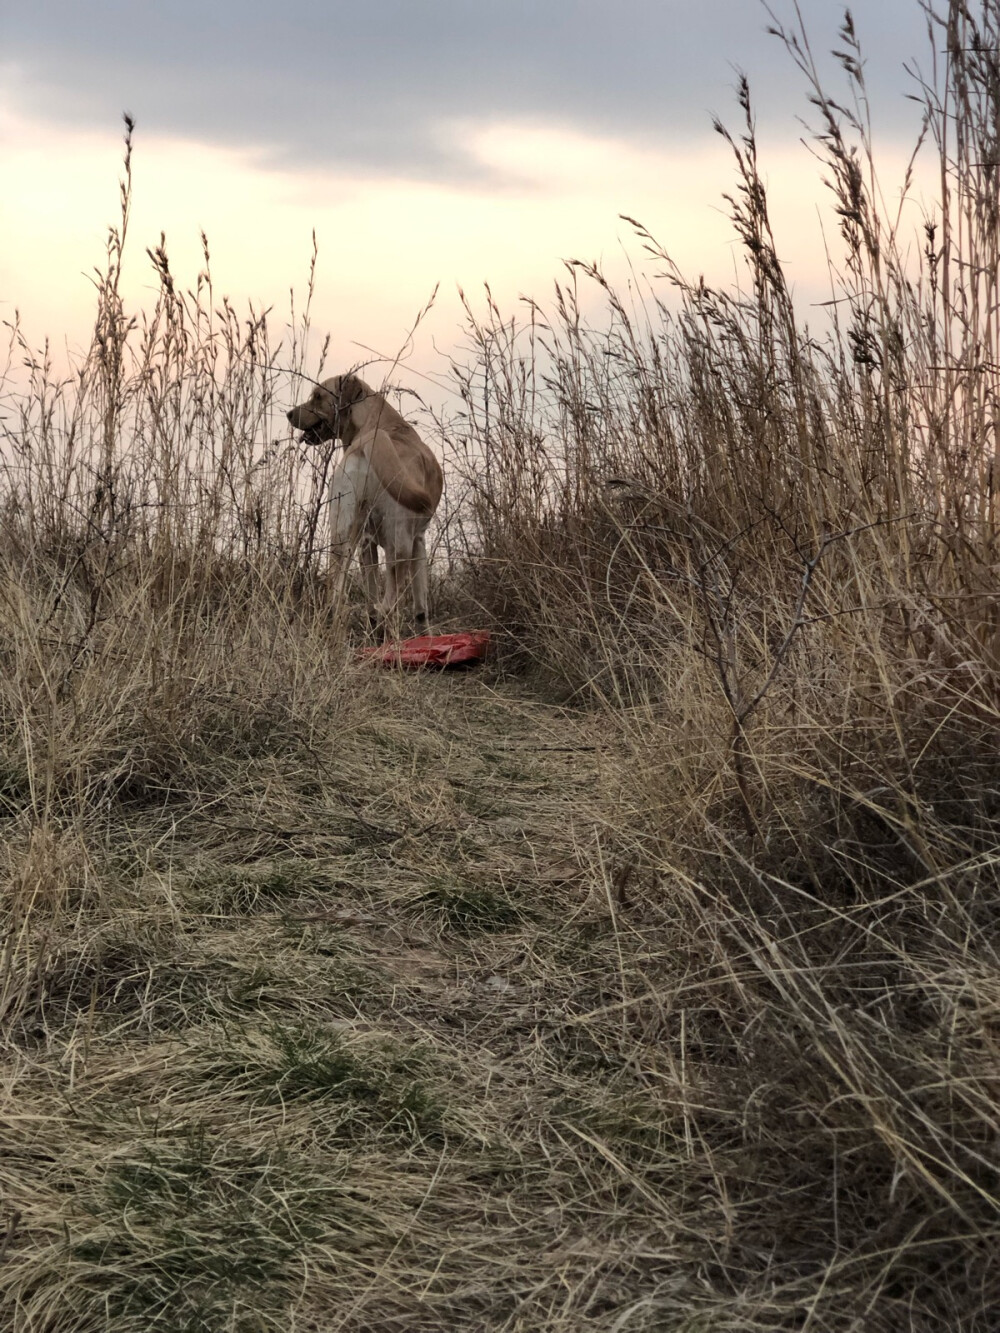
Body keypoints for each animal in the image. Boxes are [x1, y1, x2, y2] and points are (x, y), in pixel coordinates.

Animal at [289, 370, 445, 629]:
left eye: (318, 396)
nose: (289, 414)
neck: (377, 421)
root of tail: (371, 441)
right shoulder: (418, 541)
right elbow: (420, 607)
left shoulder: (366, 543)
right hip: (399, 545)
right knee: (388, 605)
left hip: (342, 535)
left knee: (338, 592)